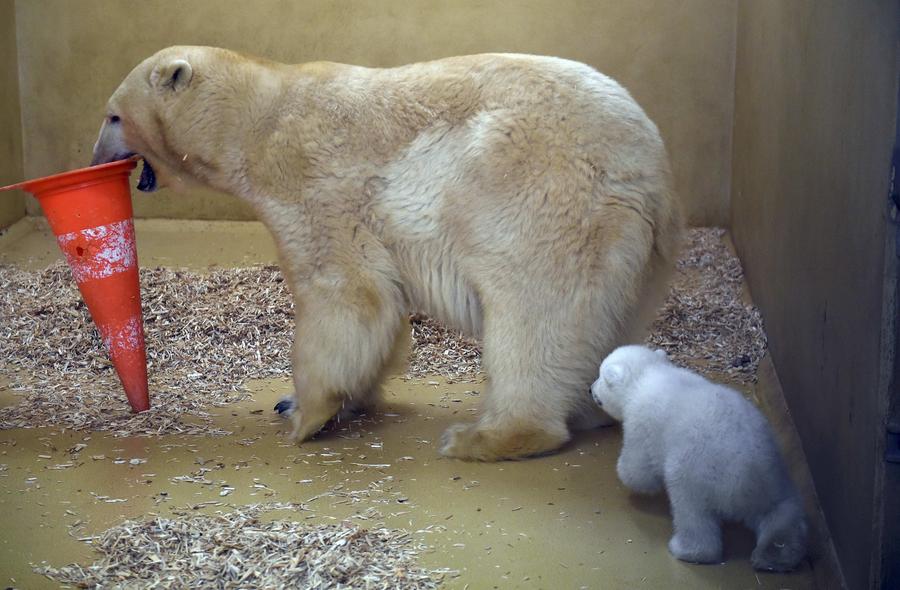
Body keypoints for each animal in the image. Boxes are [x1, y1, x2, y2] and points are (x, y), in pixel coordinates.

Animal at [91, 46, 683, 461]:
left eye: (113, 117)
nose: (95, 158)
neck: (260, 118)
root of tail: (649, 168)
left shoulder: (314, 185)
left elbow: (349, 295)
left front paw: (304, 415)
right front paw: (323, 402)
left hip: (542, 200)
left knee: (536, 314)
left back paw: (485, 437)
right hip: (638, 252)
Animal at [590, 345, 808, 571]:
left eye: (600, 376)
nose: (590, 388)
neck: (649, 375)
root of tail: (750, 479)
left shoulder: (641, 423)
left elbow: (638, 468)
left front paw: (626, 473)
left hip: (697, 471)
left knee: (691, 511)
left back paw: (685, 549)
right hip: (775, 478)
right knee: (782, 512)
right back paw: (775, 555)